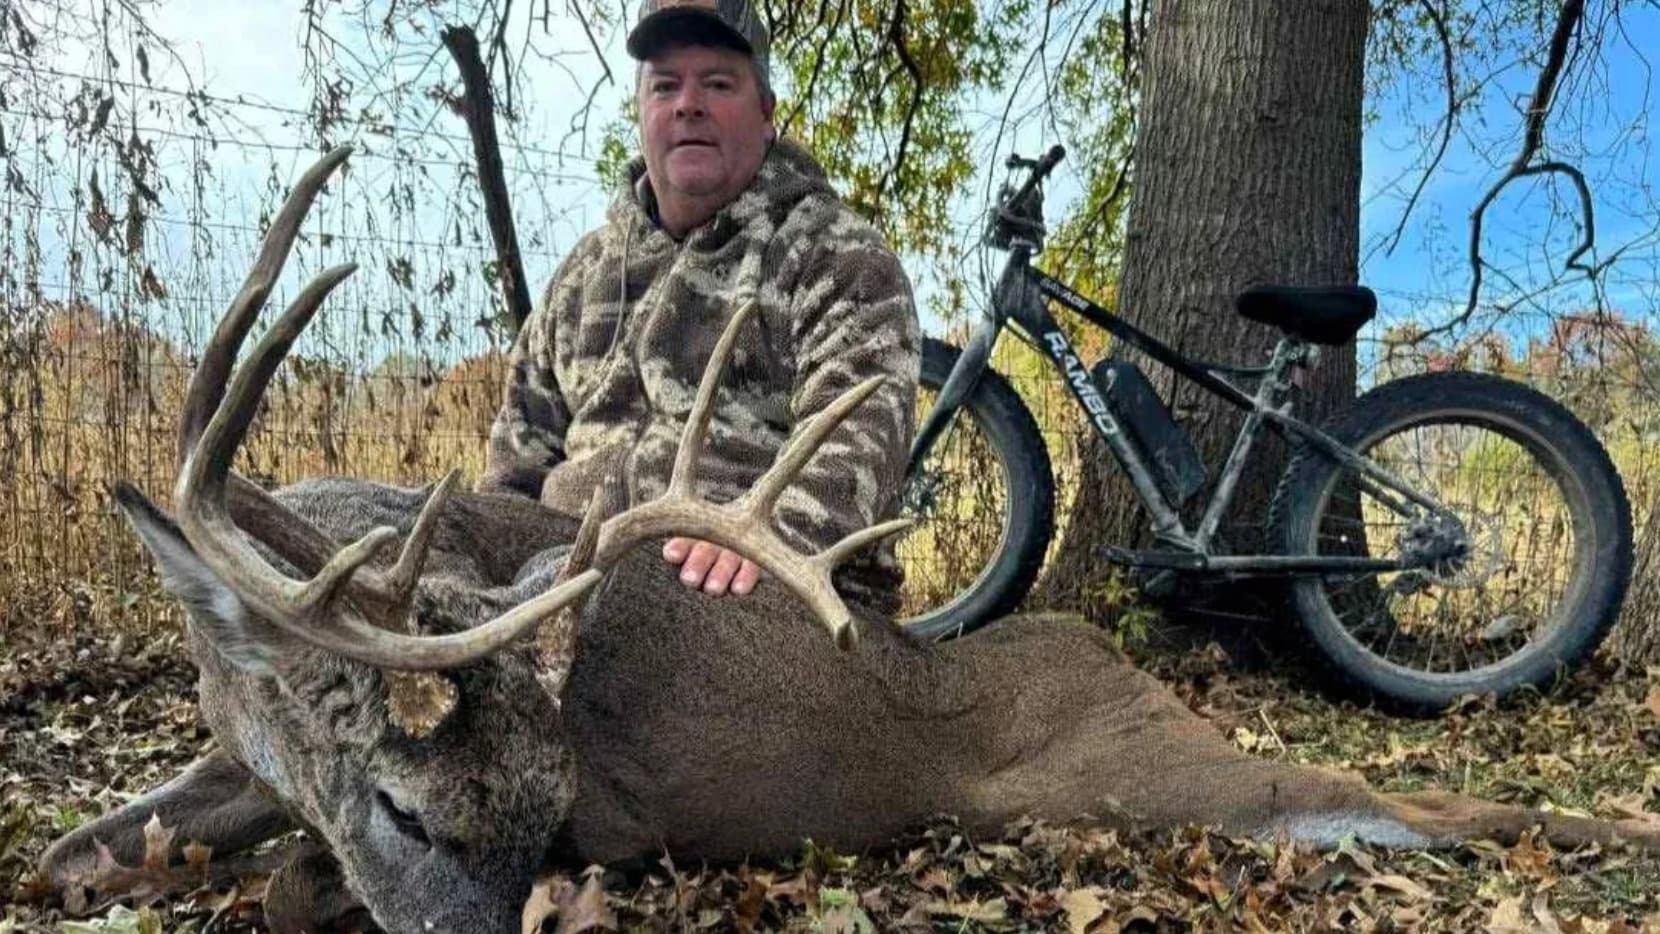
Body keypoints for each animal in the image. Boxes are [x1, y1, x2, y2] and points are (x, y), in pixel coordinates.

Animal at [38, 148, 1660, 934]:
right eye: (411, 811)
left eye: (552, 808)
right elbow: (70, 853)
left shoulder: (619, 815)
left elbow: (283, 884)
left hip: (1144, 774)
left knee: (1422, 803)